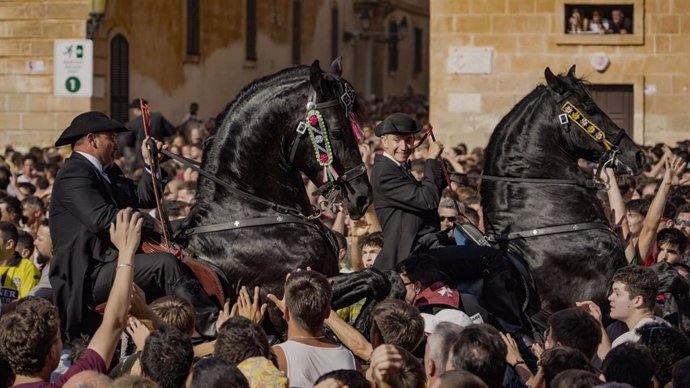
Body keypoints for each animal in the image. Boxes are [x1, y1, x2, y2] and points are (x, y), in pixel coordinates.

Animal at [176, 59, 382, 334]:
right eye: (337, 132)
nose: (362, 196)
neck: (252, 213)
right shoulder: (283, 296)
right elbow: (376, 279)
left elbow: (384, 278)